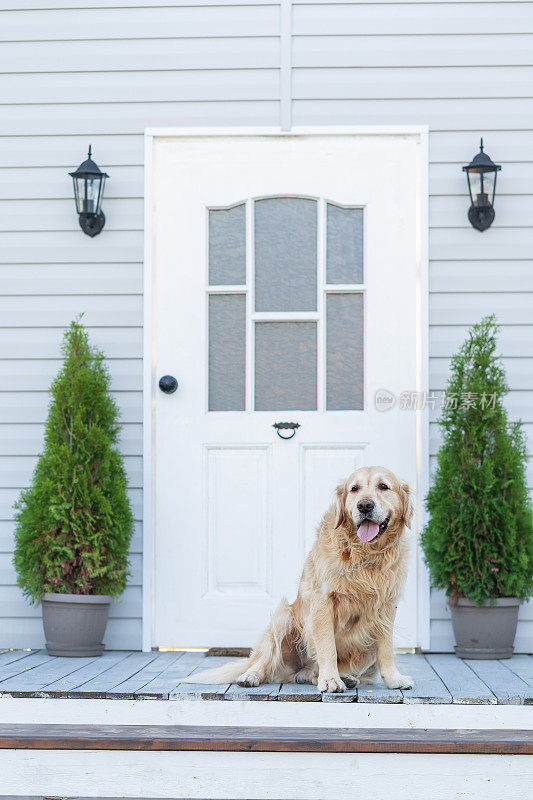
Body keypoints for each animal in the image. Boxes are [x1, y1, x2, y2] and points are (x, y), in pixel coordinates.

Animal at [185, 466, 414, 692]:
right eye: (354, 489)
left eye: (383, 486)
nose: (364, 505)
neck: (364, 555)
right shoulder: (322, 601)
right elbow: (327, 646)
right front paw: (330, 680)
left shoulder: (386, 607)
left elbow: (386, 649)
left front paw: (394, 678)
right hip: (282, 618)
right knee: (265, 661)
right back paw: (251, 675)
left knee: (311, 674)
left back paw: (344, 677)